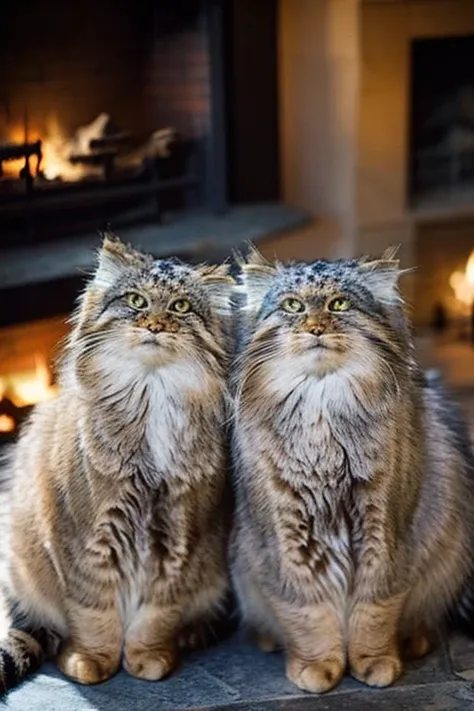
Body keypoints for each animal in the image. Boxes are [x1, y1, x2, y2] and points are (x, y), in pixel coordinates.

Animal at [0, 236, 233, 692]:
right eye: (137, 301)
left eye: (180, 307)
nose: (155, 325)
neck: (151, 396)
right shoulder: (86, 541)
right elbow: (95, 618)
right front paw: (92, 663)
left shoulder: (177, 544)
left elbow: (153, 620)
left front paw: (147, 661)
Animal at [231, 246, 474, 696]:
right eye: (293, 306)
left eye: (338, 305)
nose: (315, 328)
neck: (322, 408)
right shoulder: (287, 537)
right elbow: (308, 614)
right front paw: (317, 669)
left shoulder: (384, 530)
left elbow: (373, 612)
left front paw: (374, 664)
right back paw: (269, 640)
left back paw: (412, 642)